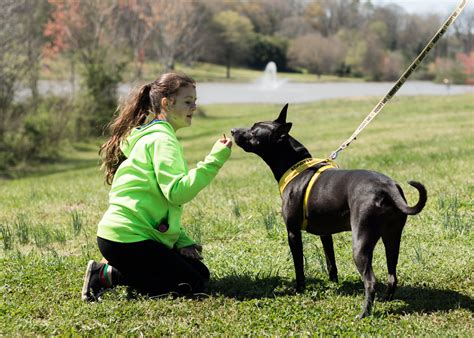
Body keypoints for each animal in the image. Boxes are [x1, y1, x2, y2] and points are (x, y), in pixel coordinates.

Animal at [231, 104, 428, 318]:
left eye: (253, 131)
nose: (232, 130)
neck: (295, 167)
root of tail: (388, 187)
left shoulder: (292, 232)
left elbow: (299, 266)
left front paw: (299, 289)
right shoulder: (325, 234)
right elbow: (330, 261)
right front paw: (334, 284)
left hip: (361, 242)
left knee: (371, 281)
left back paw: (364, 313)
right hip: (392, 238)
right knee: (392, 275)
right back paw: (386, 299)